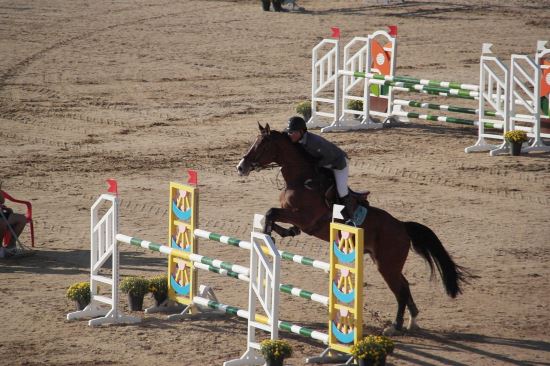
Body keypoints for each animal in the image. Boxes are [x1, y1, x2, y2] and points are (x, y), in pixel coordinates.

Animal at [237, 123, 470, 334]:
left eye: (262, 145)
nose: (241, 167)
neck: (301, 179)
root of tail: (402, 227)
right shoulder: (295, 216)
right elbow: (273, 216)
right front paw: (282, 232)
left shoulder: (305, 218)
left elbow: (271, 212)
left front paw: (268, 233)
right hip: (385, 262)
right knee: (404, 286)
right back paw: (412, 320)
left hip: (387, 265)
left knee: (401, 290)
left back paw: (395, 326)